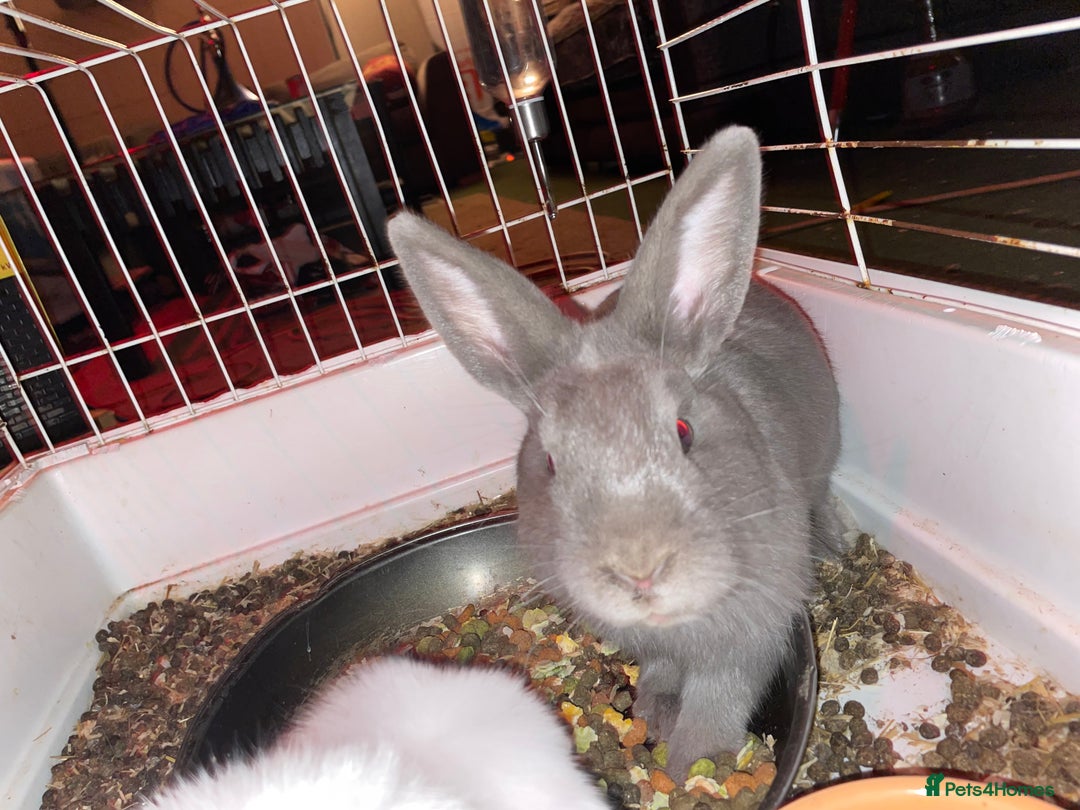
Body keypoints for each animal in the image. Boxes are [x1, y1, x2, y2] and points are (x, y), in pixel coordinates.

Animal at [385, 125, 841, 779]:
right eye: (550, 462)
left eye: (683, 430)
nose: (639, 571)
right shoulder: (656, 648)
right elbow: (663, 673)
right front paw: (652, 713)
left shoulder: (746, 637)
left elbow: (717, 701)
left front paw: (690, 765)